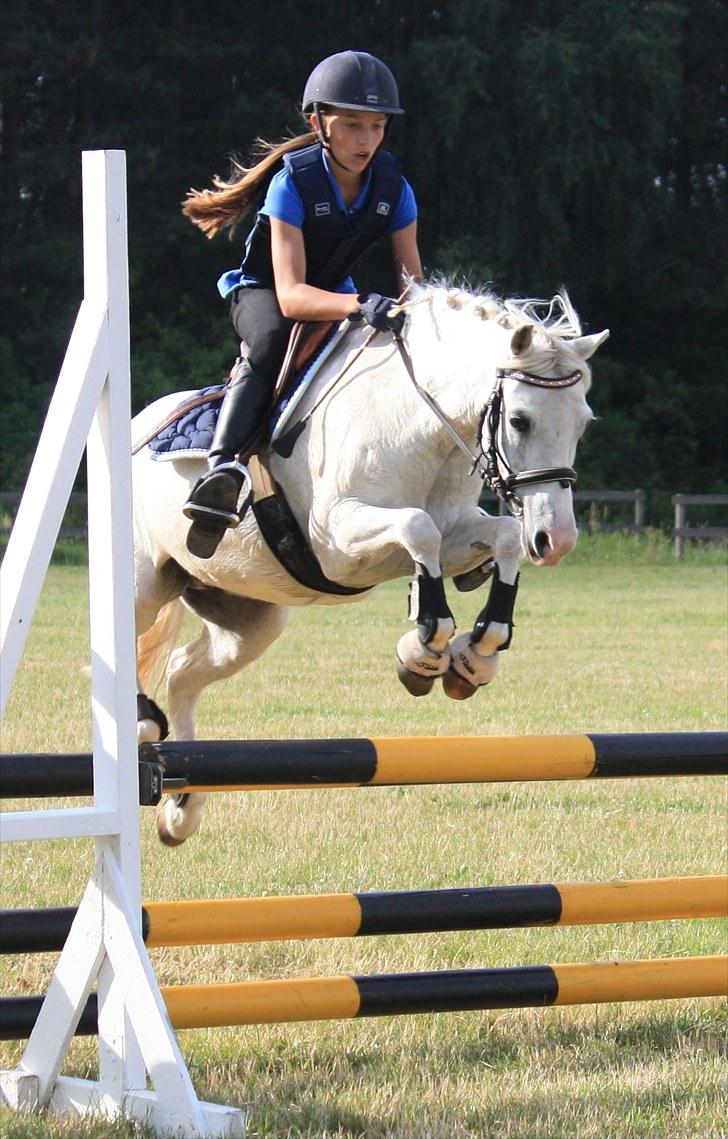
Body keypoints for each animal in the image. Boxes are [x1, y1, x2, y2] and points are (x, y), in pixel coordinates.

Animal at [132, 281, 608, 845]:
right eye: (520, 420)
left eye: (583, 423)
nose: (557, 540)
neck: (419, 427)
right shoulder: (337, 540)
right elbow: (418, 529)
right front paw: (427, 644)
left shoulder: (454, 528)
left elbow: (503, 537)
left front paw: (474, 654)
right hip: (145, 584)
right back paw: (143, 724)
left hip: (248, 617)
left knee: (182, 672)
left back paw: (180, 809)